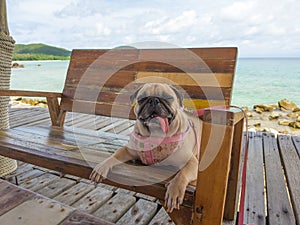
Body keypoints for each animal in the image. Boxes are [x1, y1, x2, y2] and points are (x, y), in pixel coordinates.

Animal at [89, 83, 202, 214]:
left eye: (168, 98)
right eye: (141, 99)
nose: (154, 100)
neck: (155, 136)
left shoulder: (192, 163)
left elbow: (182, 174)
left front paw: (175, 190)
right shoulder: (128, 150)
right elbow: (115, 154)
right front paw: (102, 166)